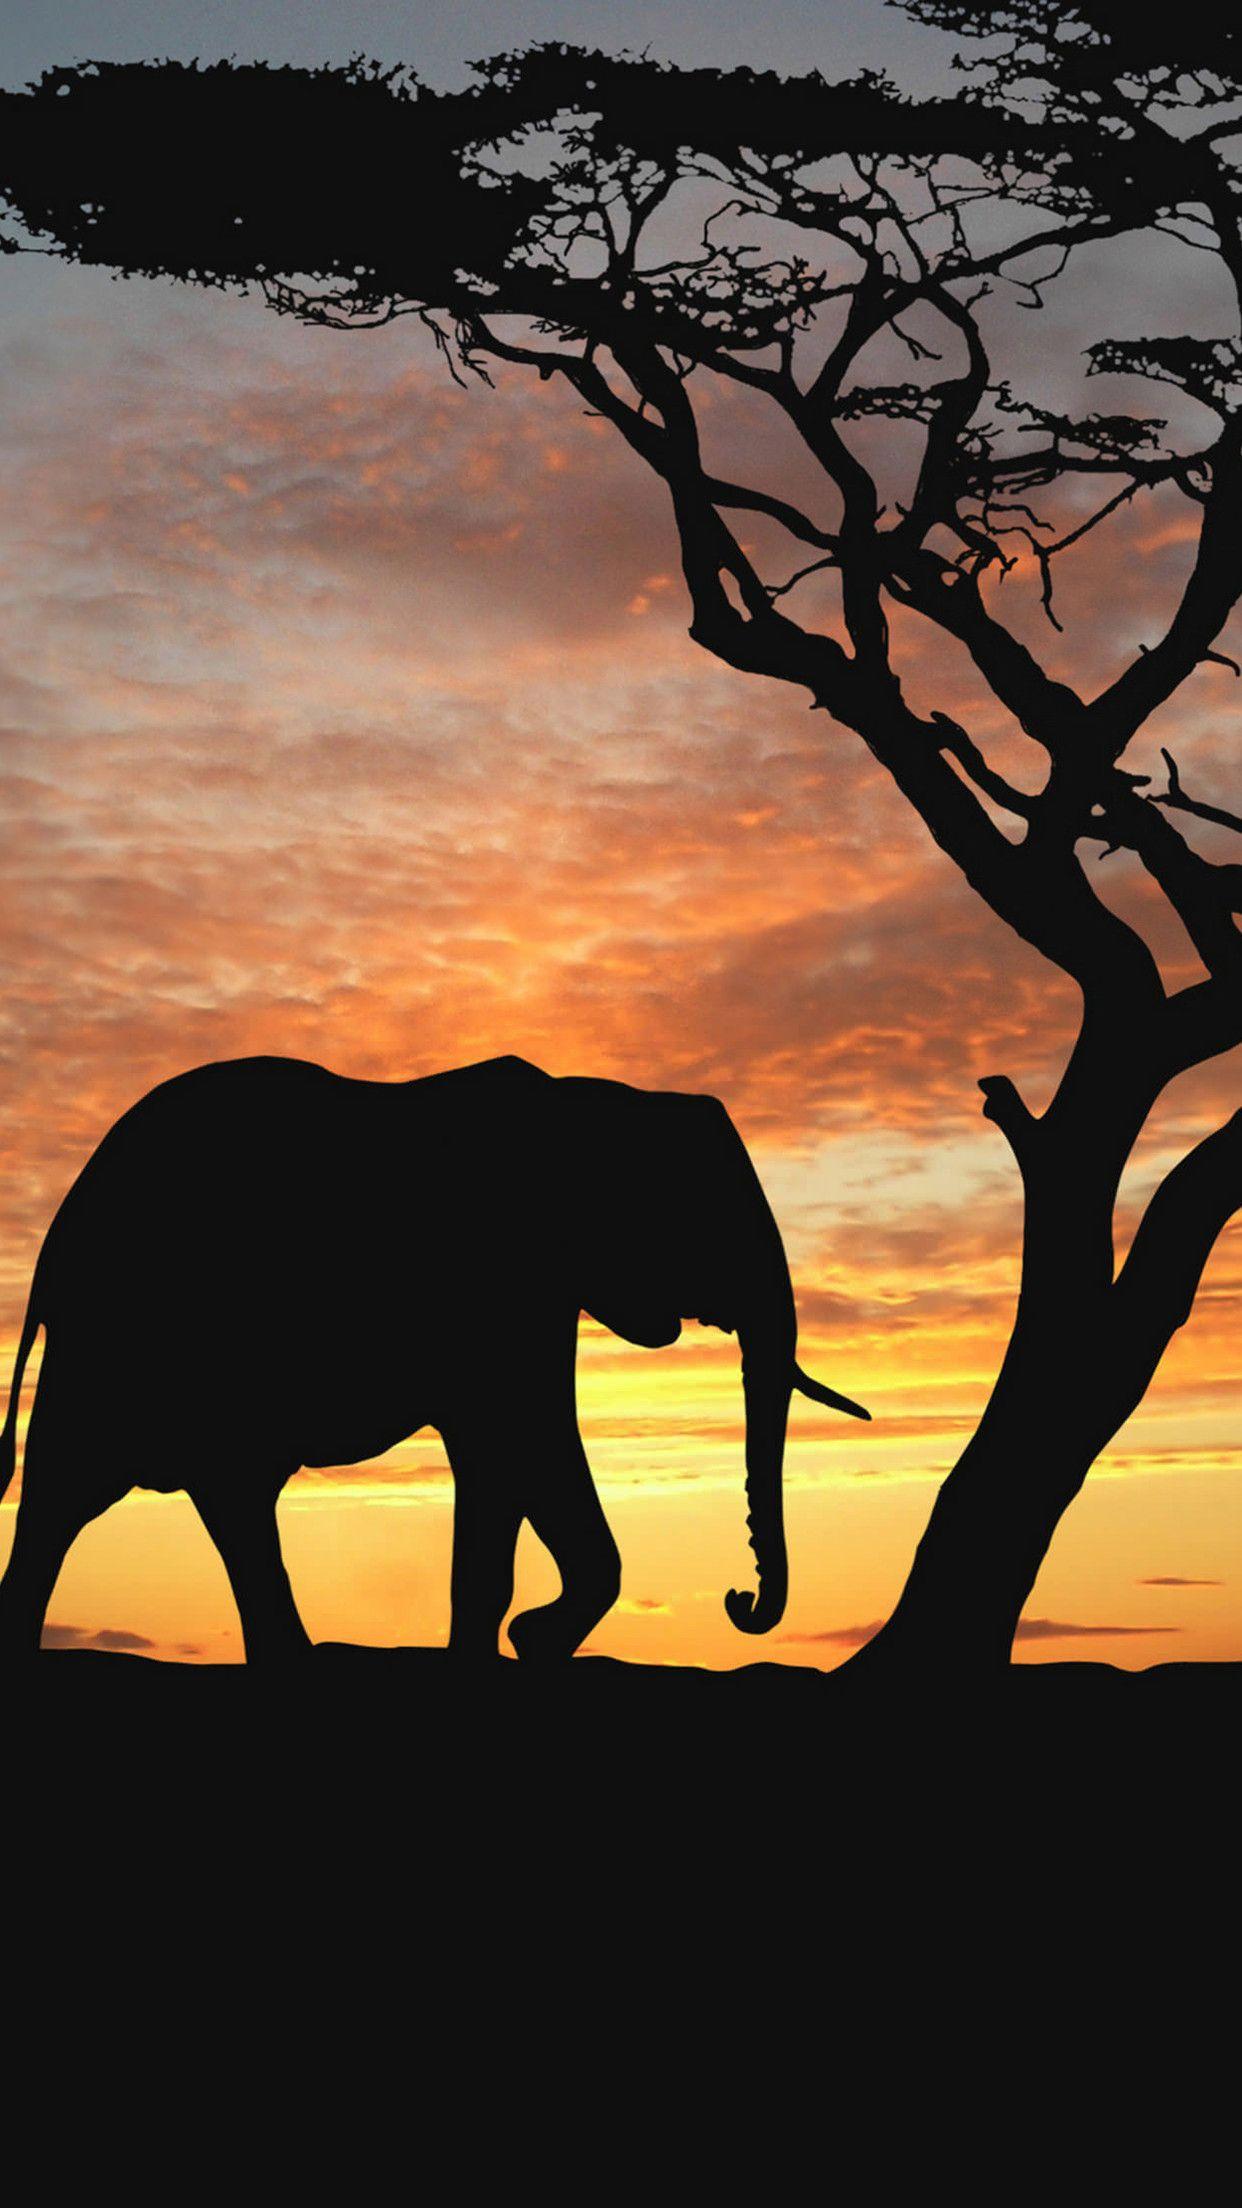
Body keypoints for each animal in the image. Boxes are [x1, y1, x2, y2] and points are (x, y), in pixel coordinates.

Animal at [0, 1053, 868, 1662]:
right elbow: (524, 1438)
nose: (737, 1600)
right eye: (713, 1222)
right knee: (73, 1494)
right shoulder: (506, 1285)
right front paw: (527, 1640)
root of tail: (57, 1236)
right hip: (122, 1340)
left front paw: (518, 1645)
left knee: (215, 1496)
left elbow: (512, 1462)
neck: (596, 1101)